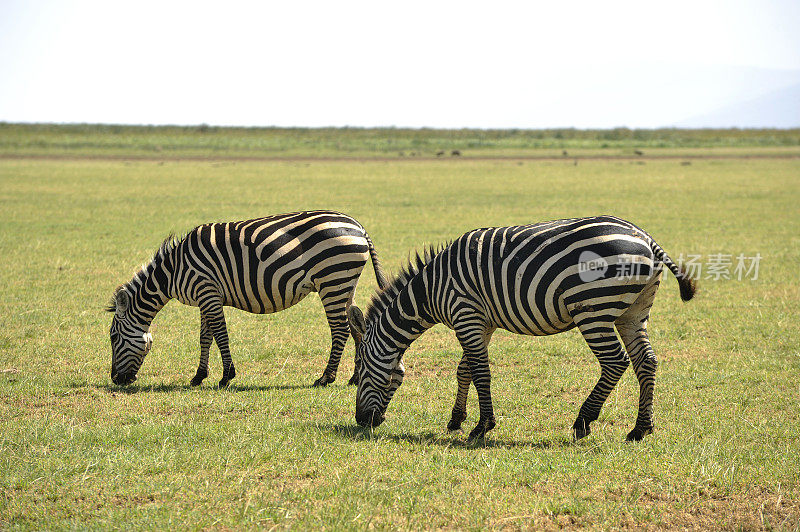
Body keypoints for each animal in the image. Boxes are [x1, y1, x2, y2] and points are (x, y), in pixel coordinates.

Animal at [108, 210, 390, 388]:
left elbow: (220, 334)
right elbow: (205, 337)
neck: (174, 270)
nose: (116, 380)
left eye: (113, 337)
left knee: (340, 330)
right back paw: (354, 378)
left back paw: (325, 378)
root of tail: (359, 227)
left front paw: (226, 376)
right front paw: (199, 376)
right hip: (345, 283)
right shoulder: (205, 296)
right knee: (356, 327)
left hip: (332, 280)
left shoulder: (207, 291)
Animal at [348, 214, 692, 442]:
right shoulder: (480, 322)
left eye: (359, 370)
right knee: (646, 362)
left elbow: (480, 371)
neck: (432, 289)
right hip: (633, 312)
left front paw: (482, 427)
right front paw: (456, 420)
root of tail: (646, 237)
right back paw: (640, 428)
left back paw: (583, 422)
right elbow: (465, 370)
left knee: (615, 362)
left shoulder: (465, 314)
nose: (362, 421)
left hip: (593, 310)